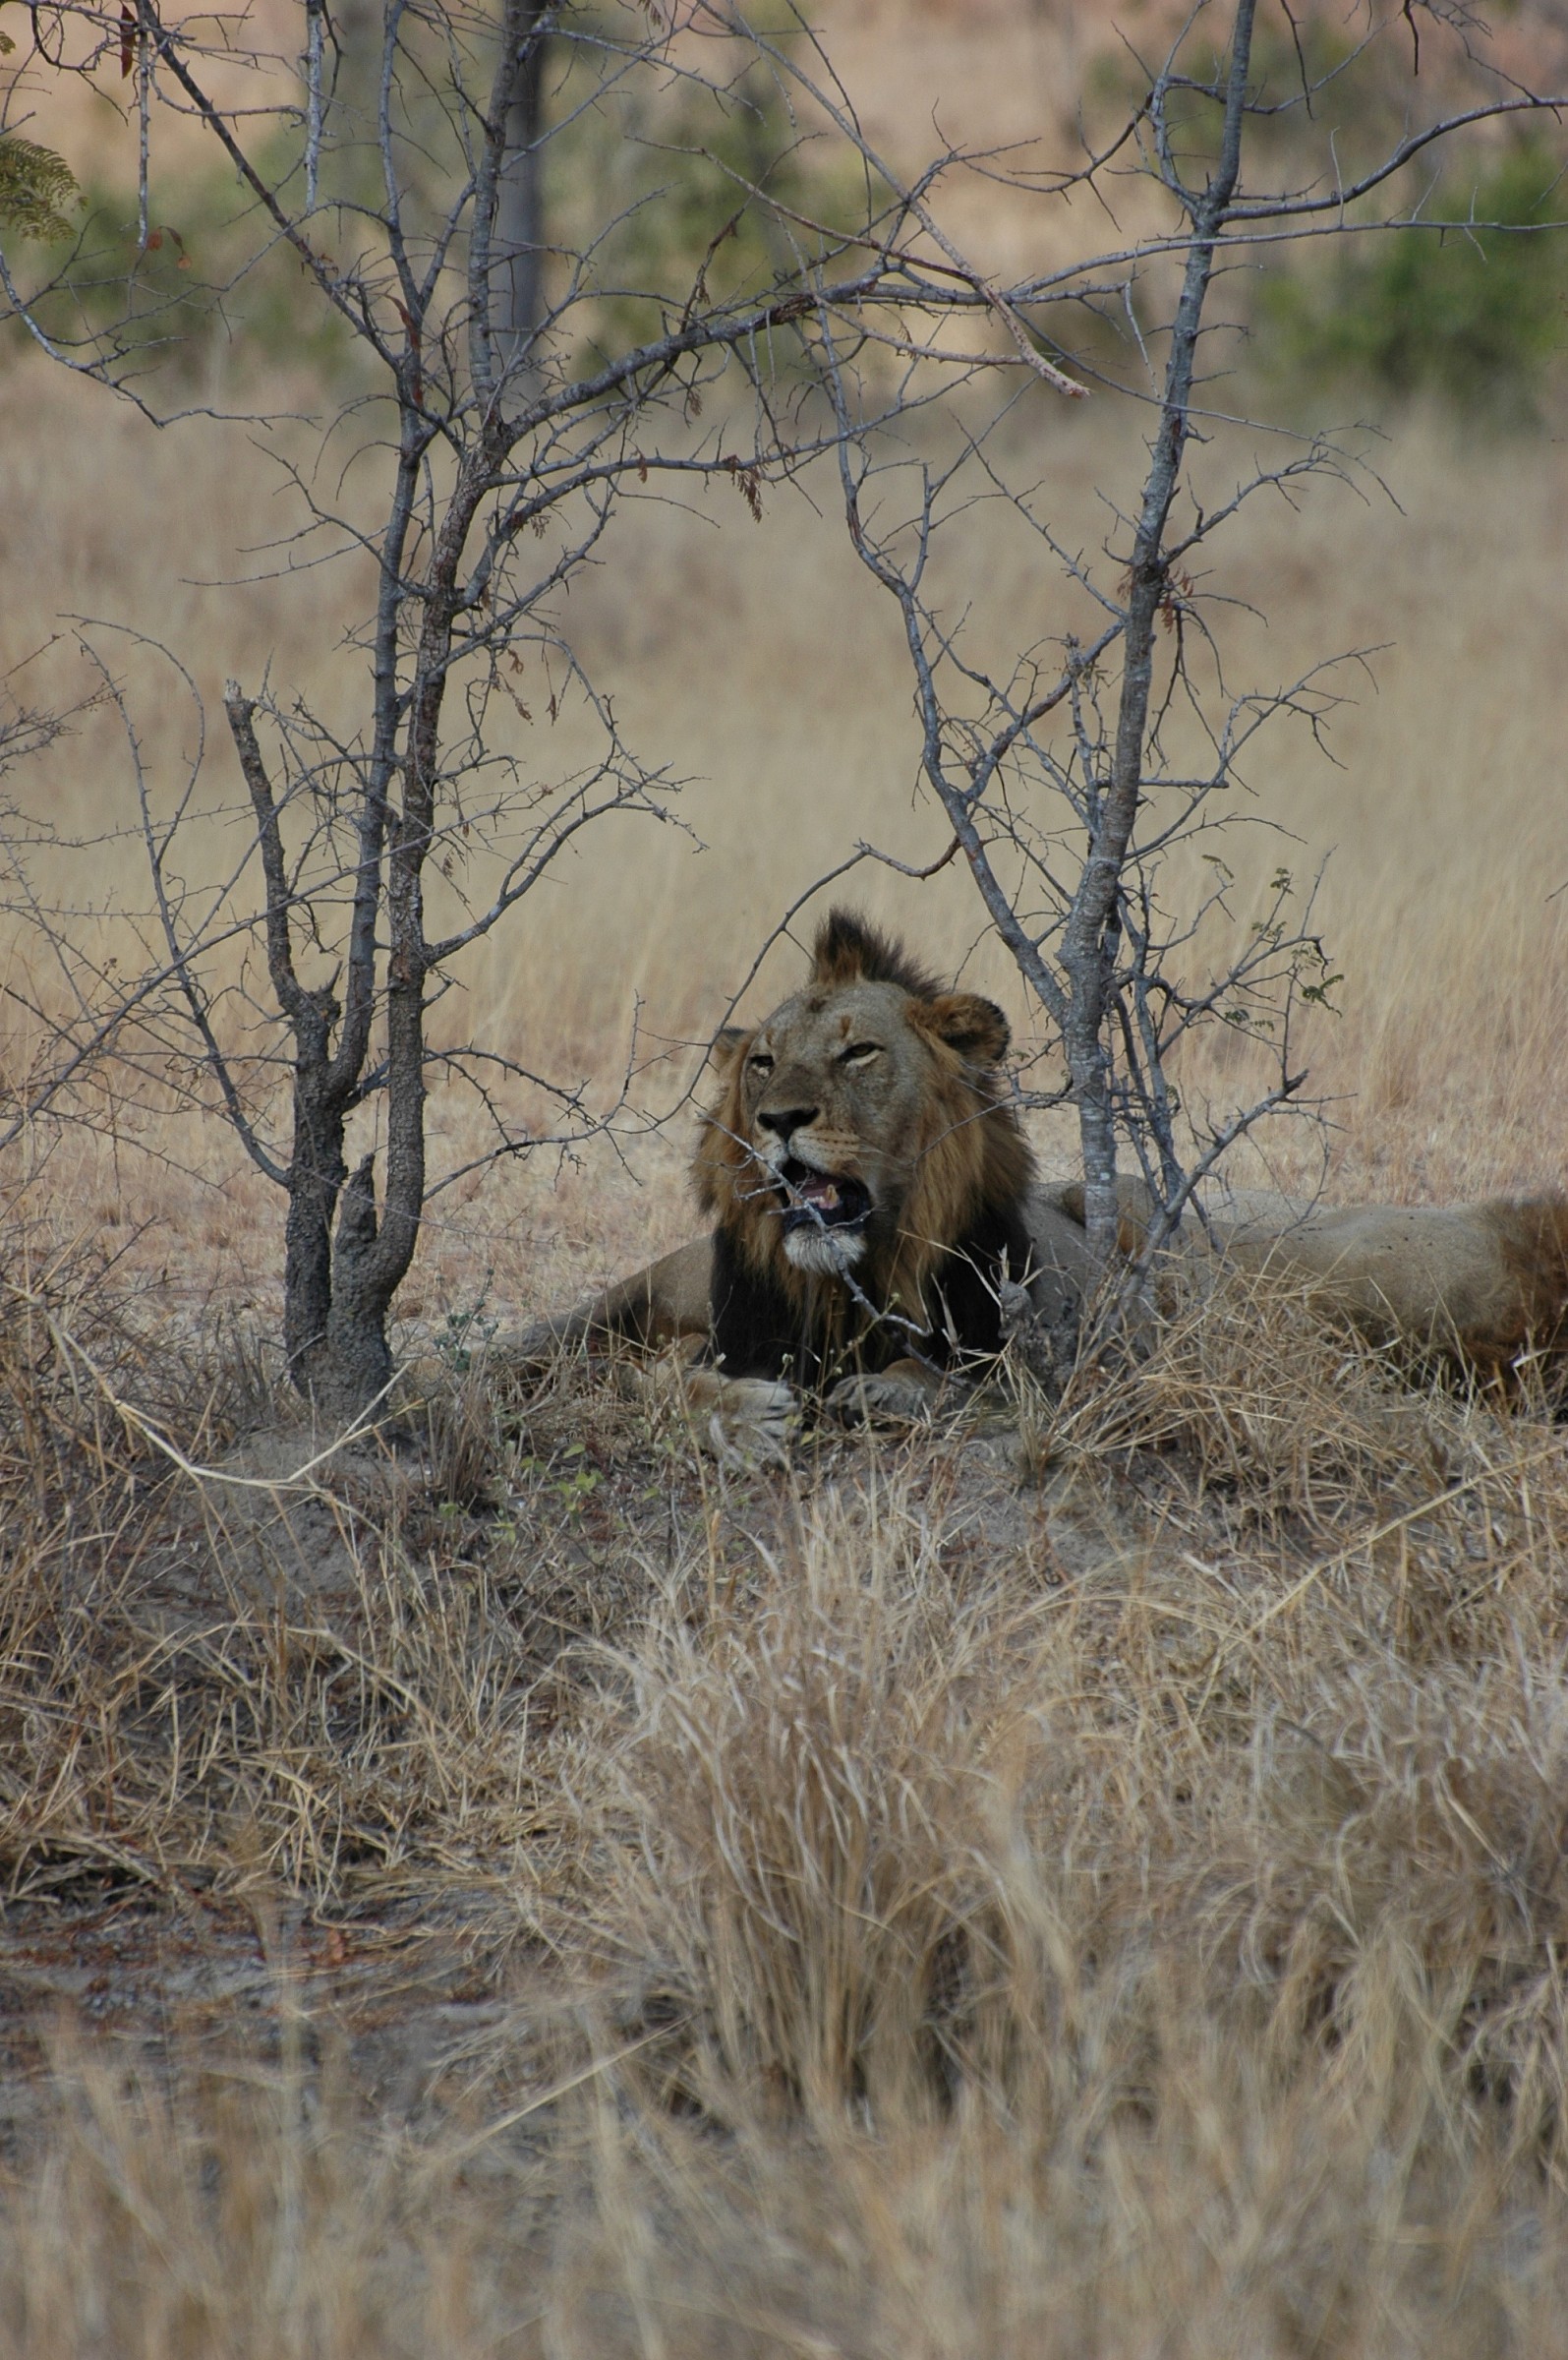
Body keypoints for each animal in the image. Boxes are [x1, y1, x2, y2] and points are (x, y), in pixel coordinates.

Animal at [514, 910, 1094, 1446]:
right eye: (764, 1062)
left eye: (859, 1052)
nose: (781, 1119)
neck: (843, 1284)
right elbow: (675, 1383)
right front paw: (744, 1416)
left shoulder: (1023, 1363)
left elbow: (950, 1376)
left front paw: (885, 1390)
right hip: (636, 1294)